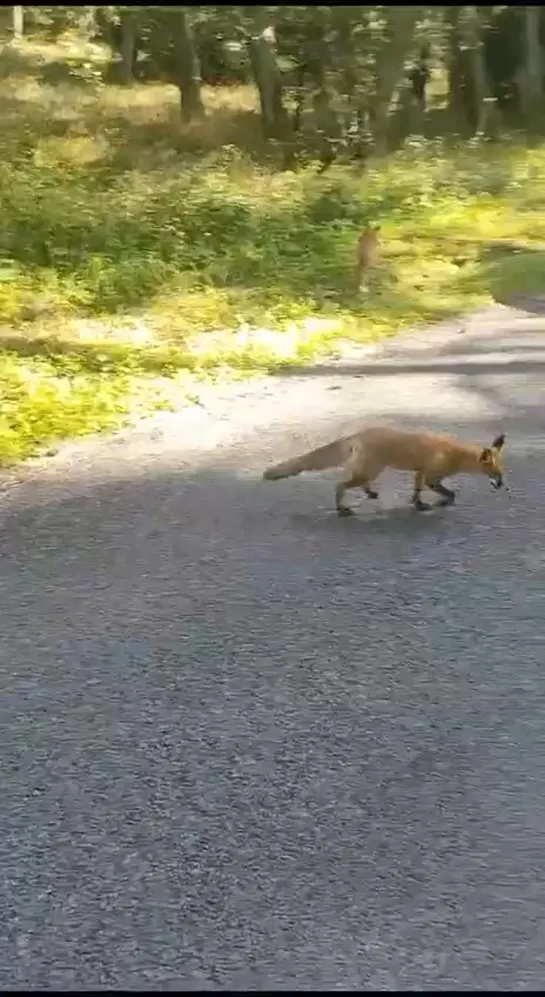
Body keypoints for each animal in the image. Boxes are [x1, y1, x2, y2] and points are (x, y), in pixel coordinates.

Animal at [262, 422, 504, 512]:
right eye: (495, 473)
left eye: (502, 471)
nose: (502, 485)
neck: (456, 454)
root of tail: (357, 434)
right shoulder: (431, 476)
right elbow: (449, 493)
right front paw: (442, 502)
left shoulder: (420, 472)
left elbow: (416, 491)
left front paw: (418, 504)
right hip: (370, 470)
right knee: (340, 485)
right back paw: (342, 508)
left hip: (368, 471)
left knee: (358, 483)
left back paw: (370, 494)